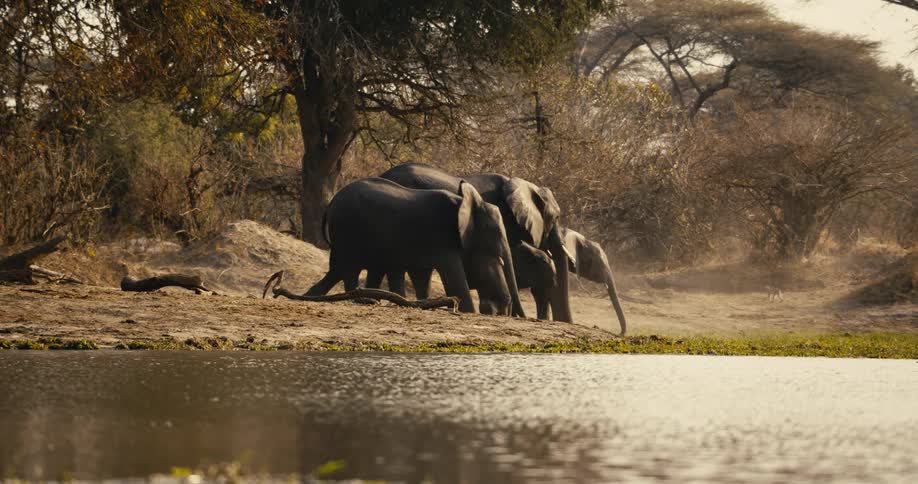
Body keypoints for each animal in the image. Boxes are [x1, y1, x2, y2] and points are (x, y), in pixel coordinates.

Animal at [306, 177, 523, 316]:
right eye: (494, 231)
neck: (464, 202)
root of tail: (331, 203)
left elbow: (422, 276)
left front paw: (424, 303)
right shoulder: (441, 236)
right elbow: (453, 274)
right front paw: (466, 310)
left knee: (337, 270)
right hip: (347, 230)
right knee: (349, 268)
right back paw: (361, 299)